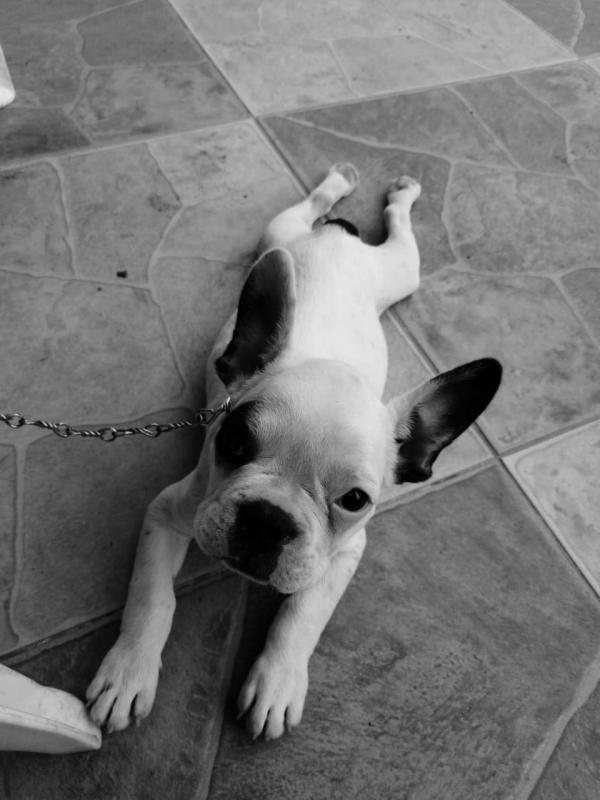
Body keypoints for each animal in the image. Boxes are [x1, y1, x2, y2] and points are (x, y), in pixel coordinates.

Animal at [86, 164, 501, 740]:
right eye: (232, 440)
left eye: (355, 500)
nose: (268, 519)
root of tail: (338, 242)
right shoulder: (168, 512)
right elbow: (153, 596)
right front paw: (128, 672)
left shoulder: (345, 552)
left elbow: (303, 614)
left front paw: (278, 681)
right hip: (284, 237)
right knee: (312, 214)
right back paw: (345, 184)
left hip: (398, 275)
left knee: (397, 232)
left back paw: (395, 193)